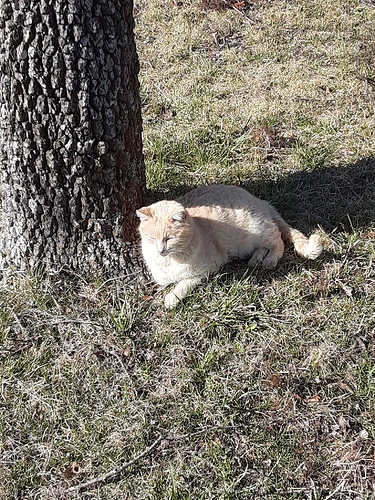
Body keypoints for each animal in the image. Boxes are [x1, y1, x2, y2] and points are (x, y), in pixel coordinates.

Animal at [137, 185, 324, 308]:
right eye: (151, 238)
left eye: (168, 239)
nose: (160, 250)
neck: (169, 260)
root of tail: (259, 201)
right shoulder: (161, 276)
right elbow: (165, 280)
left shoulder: (206, 270)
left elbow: (183, 283)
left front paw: (171, 298)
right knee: (263, 247)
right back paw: (255, 260)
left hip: (259, 230)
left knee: (278, 242)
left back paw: (269, 260)